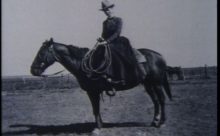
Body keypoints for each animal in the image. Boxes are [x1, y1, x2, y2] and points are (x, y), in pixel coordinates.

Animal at [31, 38, 172, 129]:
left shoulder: (93, 92)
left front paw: (98, 127)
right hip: (148, 84)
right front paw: (100, 125)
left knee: (161, 99)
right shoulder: (93, 92)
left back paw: (162, 122)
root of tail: (160, 56)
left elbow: (95, 108)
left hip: (157, 83)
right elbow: (96, 109)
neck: (82, 64)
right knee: (155, 100)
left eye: (41, 53)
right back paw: (154, 121)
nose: (33, 70)